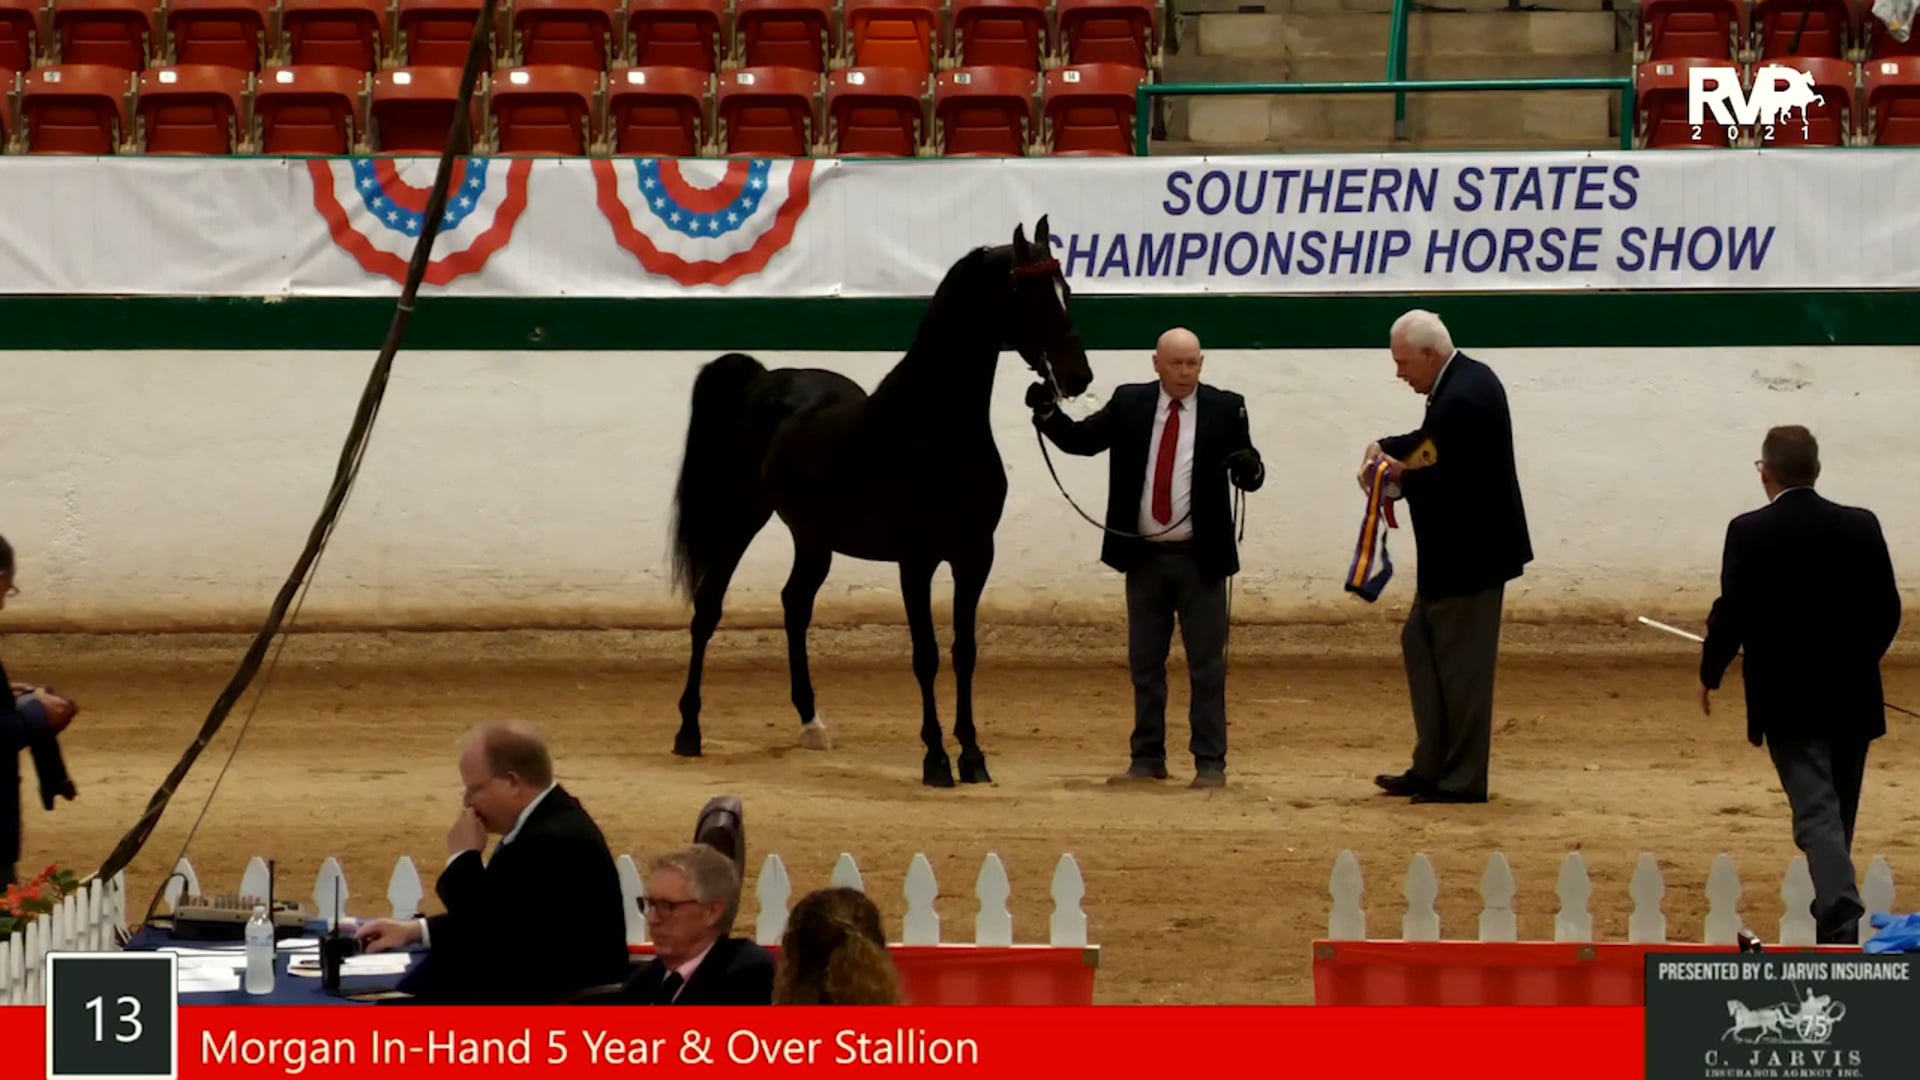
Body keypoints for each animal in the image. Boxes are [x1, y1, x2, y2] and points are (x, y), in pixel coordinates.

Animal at [666, 215, 1094, 788]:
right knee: (708, 610)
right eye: (1031, 294)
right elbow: (926, 655)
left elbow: (965, 652)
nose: (1078, 377)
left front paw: (973, 756)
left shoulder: (975, 555)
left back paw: (812, 724)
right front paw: (936, 759)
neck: (934, 427)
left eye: (1065, 290)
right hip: (742, 518)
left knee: (794, 605)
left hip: (813, 537)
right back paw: (688, 731)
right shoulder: (916, 561)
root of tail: (763, 379)